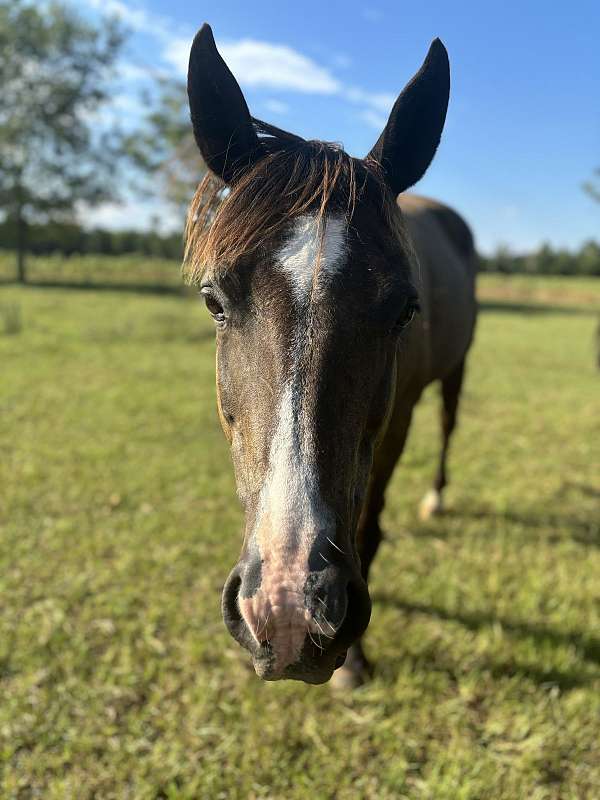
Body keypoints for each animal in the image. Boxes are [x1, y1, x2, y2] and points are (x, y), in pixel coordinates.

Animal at [185, 25, 476, 688]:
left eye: (405, 310)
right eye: (214, 299)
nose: (288, 608)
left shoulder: (396, 423)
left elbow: (370, 526)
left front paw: (356, 662)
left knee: (450, 427)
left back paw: (436, 497)